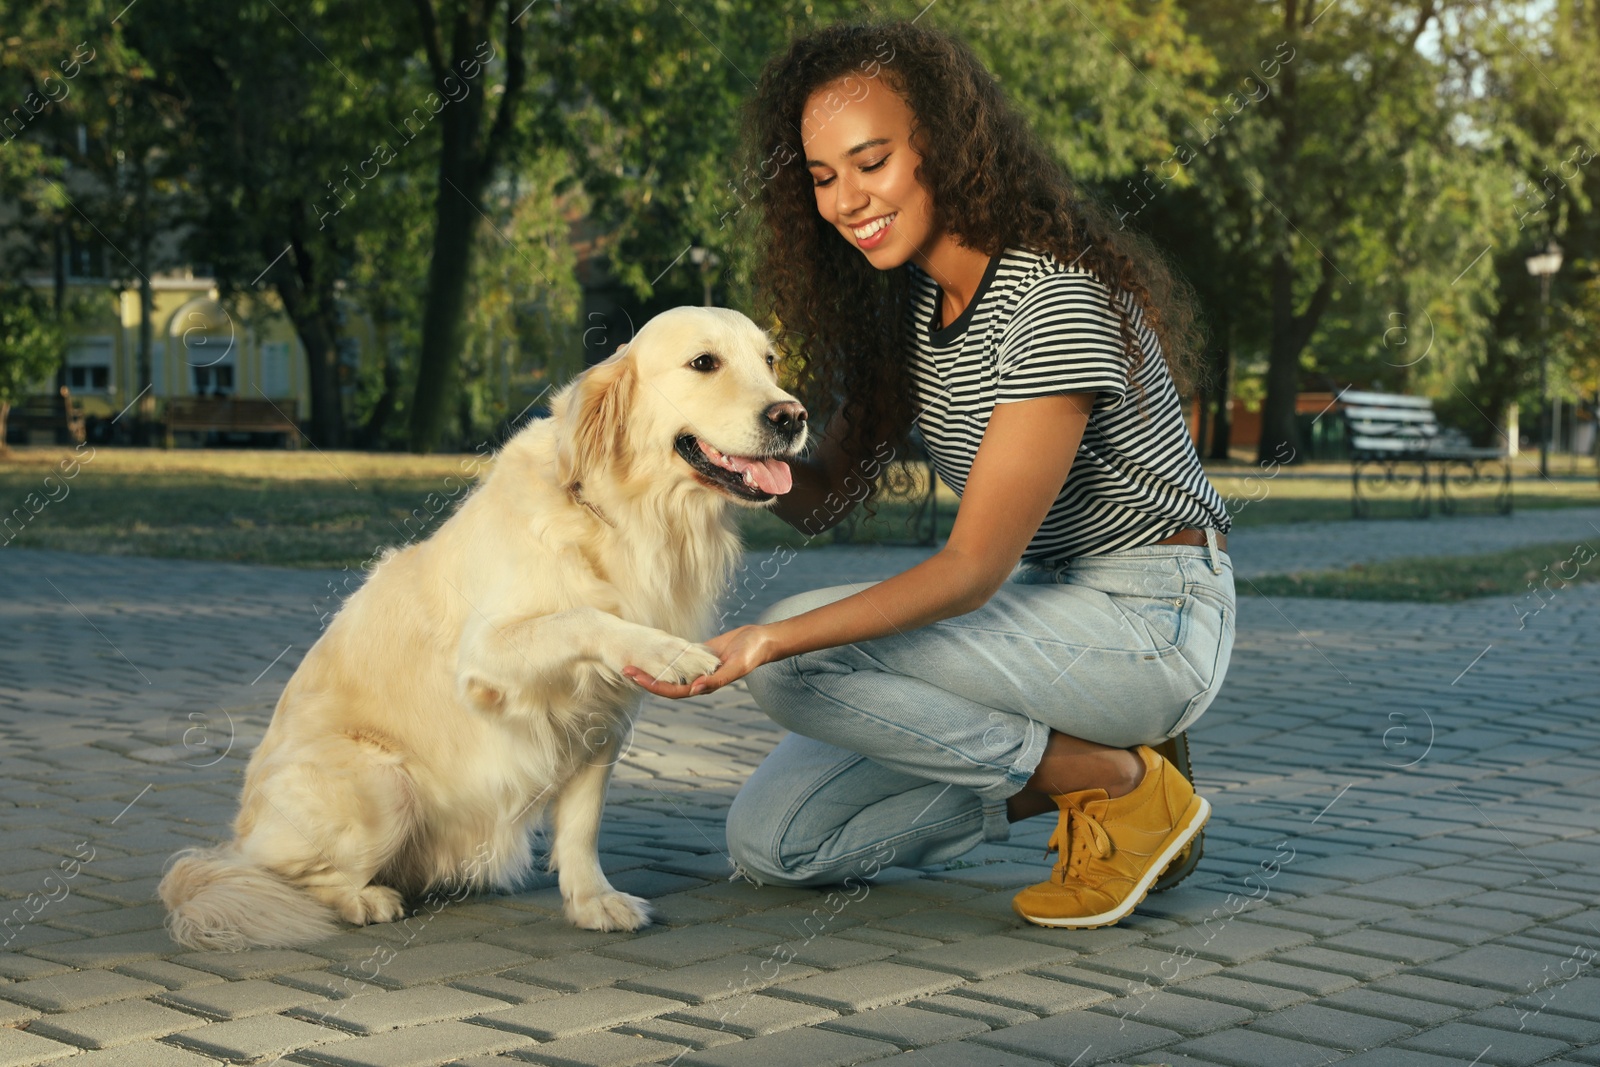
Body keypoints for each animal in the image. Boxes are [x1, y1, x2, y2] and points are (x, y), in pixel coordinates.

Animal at [160, 307, 806, 953]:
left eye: (770, 361)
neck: (621, 518)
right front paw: (668, 651)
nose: (793, 416)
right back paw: (361, 898)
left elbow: (582, 824)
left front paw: (592, 901)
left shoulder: (604, 718)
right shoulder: (486, 656)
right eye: (704, 362)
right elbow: (583, 615)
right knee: (281, 875)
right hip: (384, 783)